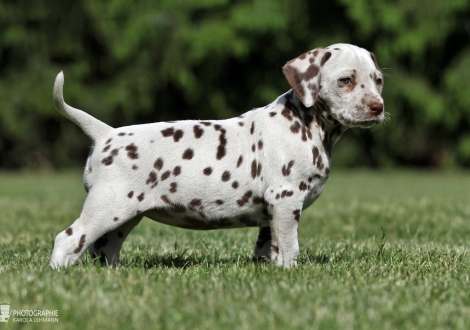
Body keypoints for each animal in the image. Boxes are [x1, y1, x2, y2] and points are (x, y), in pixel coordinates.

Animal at [49, 43, 384, 268]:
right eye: (345, 80)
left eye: (378, 80)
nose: (377, 107)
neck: (304, 121)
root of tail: (105, 133)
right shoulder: (285, 199)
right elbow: (289, 247)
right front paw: (290, 273)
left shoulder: (271, 212)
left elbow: (268, 248)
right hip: (107, 207)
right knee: (68, 239)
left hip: (126, 215)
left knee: (105, 249)